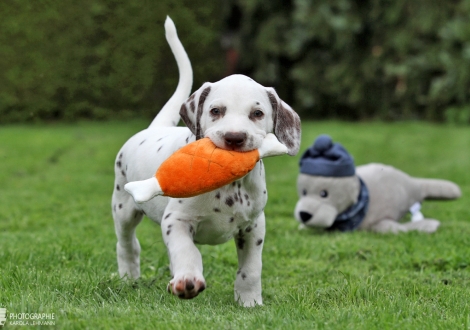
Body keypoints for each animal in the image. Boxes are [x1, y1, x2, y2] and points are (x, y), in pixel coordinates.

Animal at [111, 17, 302, 306]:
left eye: (257, 113)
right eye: (215, 111)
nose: (234, 137)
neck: (229, 184)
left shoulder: (254, 227)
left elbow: (251, 269)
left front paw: (249, 301)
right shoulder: (176, 221)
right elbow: (187, 251)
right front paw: (187, 280)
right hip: (123, 208)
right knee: (127, 245)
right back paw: (128, 277)